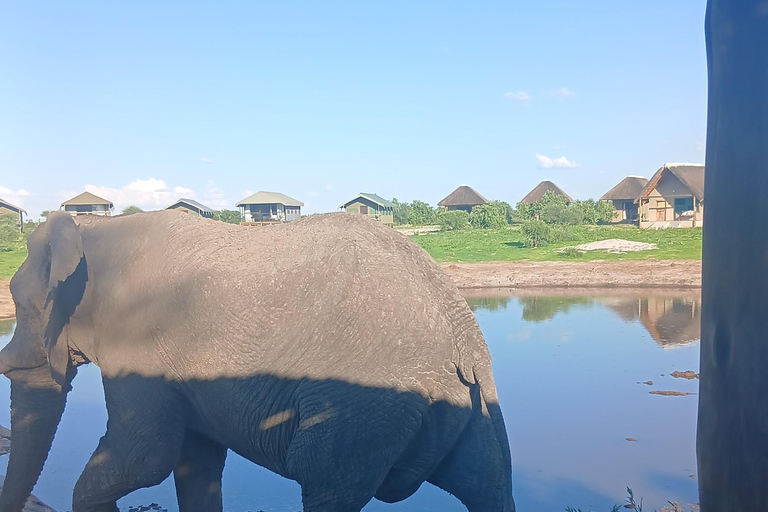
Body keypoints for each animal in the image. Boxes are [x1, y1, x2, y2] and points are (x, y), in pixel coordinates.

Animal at [0, 210, 515, 512]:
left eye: (19, 303)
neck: (91, 231)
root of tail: (462, 333)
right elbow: (196, 461)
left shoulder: (137, 341)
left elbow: (144, 458)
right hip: (466, 403)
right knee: (487, 482)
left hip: (364, 408)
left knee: (325, 481)